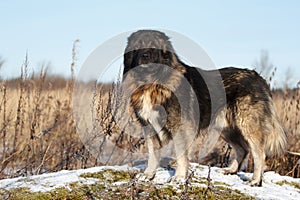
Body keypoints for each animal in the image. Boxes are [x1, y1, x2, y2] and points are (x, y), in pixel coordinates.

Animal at [122, 29, 288, 186]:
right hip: (227, 128)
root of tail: (257, 76)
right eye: (137, 45)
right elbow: (152, 154)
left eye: (154, 46)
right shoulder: (149, 127)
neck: (151, 83)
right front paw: (148, 174)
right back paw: (231, 170)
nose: (145, 55)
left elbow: (181, 155)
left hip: (247, 125)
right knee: (243, 149)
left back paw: (255, 181)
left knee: (259, 153)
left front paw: (179, 177)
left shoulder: (181, 128)